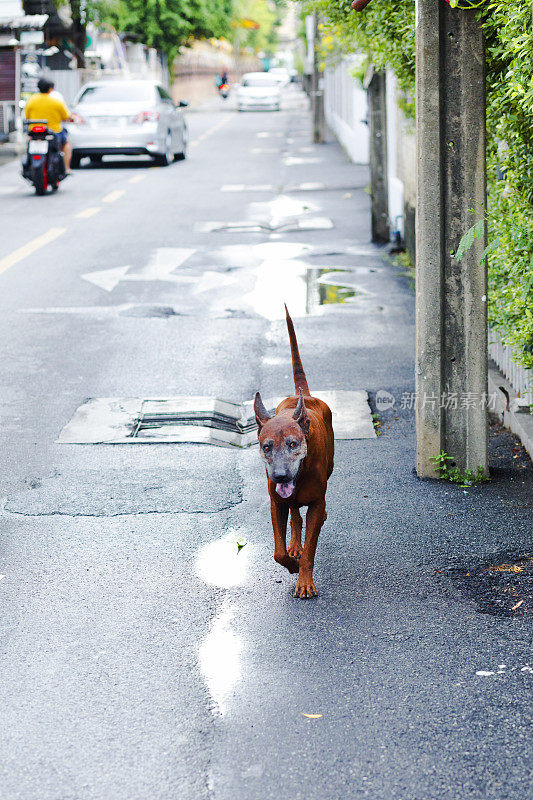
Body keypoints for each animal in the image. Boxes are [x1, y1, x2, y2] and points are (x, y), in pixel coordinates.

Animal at [254, 310, 332, 596]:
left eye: (292, 444)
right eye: (267, 447)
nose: (279, 476)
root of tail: (305, 396)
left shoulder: (316, 502)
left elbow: (311, 548)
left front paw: (304, 581)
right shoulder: (276, 502)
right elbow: (278, 552)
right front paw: (291, 564)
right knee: (296, 514)